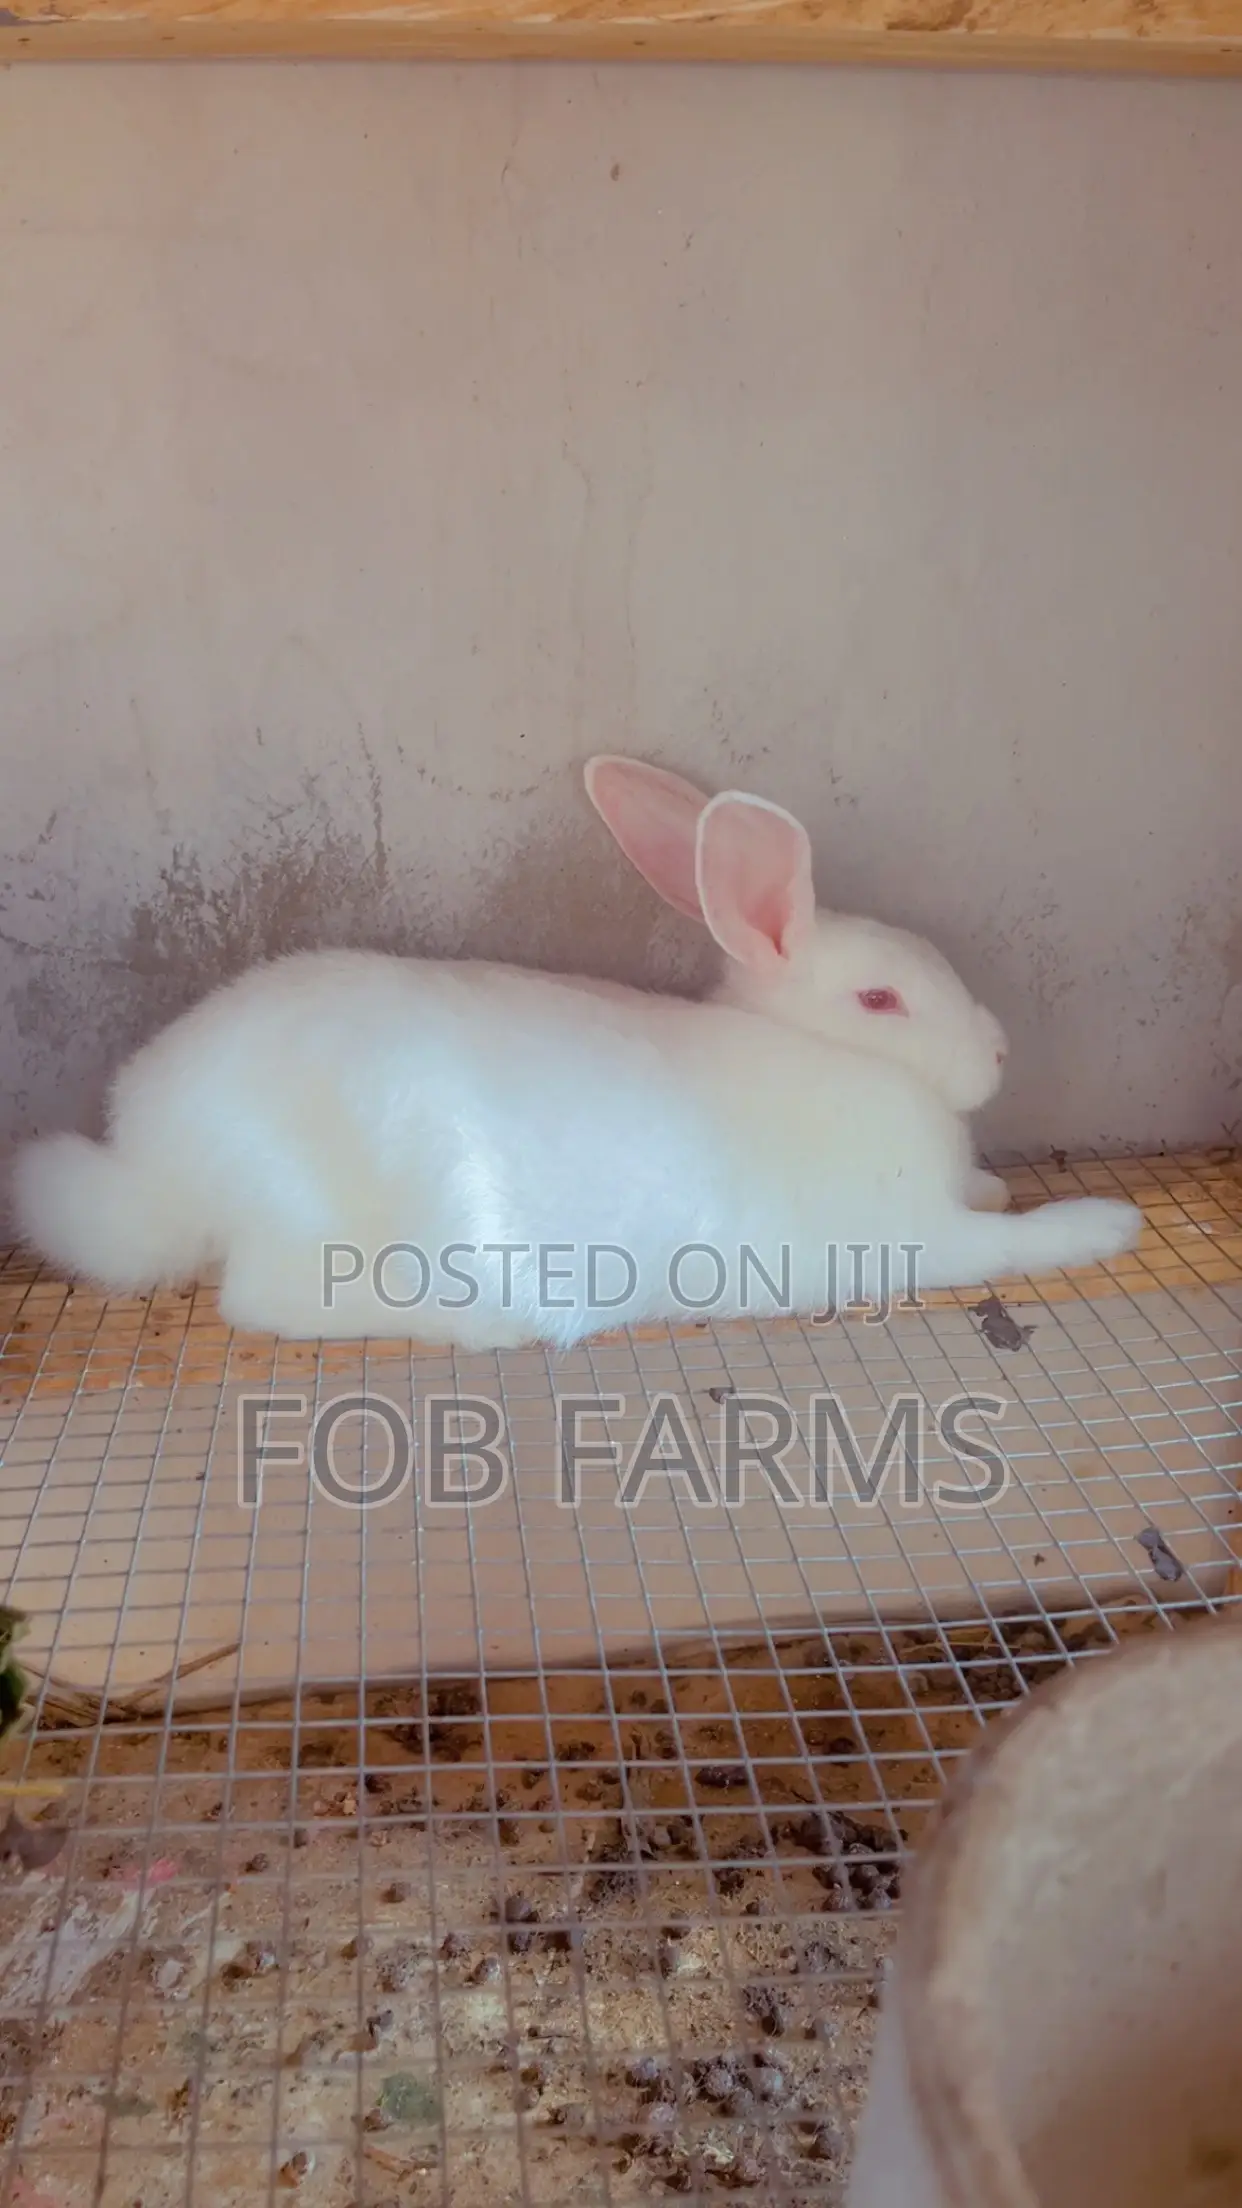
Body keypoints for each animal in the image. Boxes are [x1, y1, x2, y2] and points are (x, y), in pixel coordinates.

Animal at [10, 756, 1141, 1349]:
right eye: (880, 999)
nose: (999, 1055)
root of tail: (155, 1157)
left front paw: (1002, 1182)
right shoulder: (910, 1237)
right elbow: (1012, 1244)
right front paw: (1109, 1222)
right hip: (328, 1211)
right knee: (267, 1298)